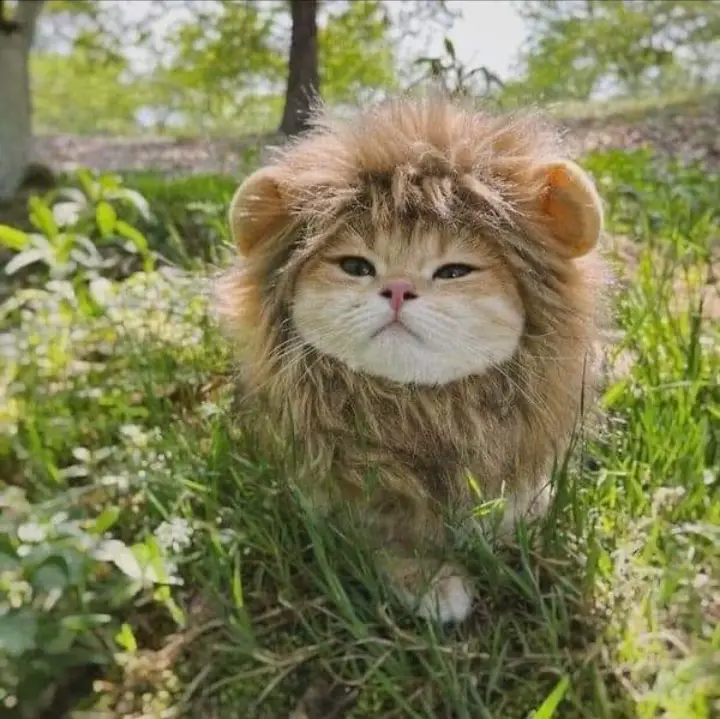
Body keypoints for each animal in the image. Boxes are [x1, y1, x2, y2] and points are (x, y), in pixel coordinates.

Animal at [215, 95, 608, 624]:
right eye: (355, 266)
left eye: (454, 272)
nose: (398, 289)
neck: (419, 408)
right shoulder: (340, 492)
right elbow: (385, 539)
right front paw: (431, 585)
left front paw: (525, 522)